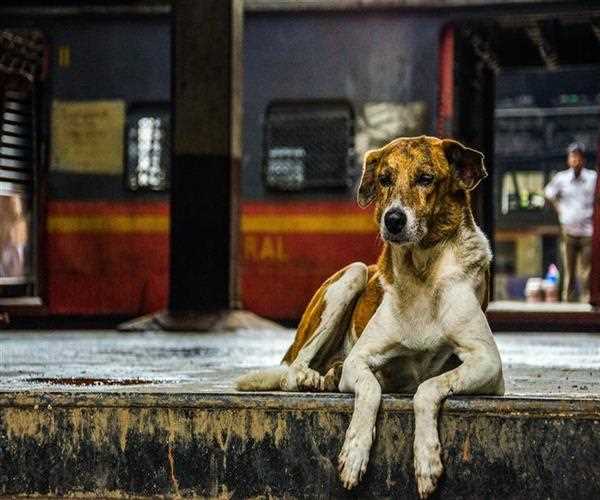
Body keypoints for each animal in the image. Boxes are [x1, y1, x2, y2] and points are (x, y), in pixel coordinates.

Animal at [237, 135, 504, 498]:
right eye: (384, 179)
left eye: (426, 178)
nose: (393, 219)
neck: (422, 271)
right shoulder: (359, 360)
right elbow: (369, 389)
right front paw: (354, 451)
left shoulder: (488, 364)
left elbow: (428, 387)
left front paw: (426, 458)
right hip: (353, 274)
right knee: (293, 370)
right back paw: (313, 377)